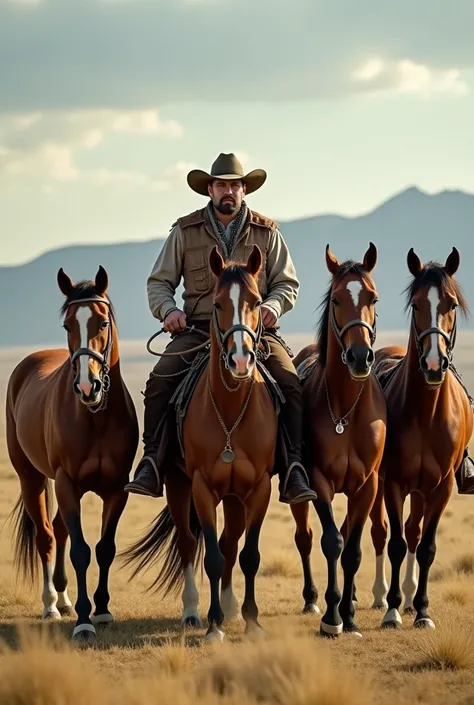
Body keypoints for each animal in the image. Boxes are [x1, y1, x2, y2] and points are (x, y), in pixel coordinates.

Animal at [6, 266, 139, 640]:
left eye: (103, 323)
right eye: (67, 325)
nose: (86, 386)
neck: (95, 419)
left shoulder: (116, 489)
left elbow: (105, 548)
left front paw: (103, 611)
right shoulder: (66, 484)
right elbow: (80, 550)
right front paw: (83, 620)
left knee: (58, 529)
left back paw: (63, 600)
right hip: (31, 478)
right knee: (46, 535)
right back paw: (52, 605)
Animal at [122, 245, 276, 640]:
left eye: (256, 302)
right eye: (218, 303)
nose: (240, 360)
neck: (231, 413)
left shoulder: (259, 487)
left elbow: (247, 554)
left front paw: (251, 621)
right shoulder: (202, 487)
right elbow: (212, 557)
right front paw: (214, 625)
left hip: (235, 496)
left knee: (231, 542)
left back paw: (232, 607)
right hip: (178, 484)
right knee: (189, 544)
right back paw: (193, 611)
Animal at [374, 246, 474, 628]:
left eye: (451, 304)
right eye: (416, 304)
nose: (433, 364)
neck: (427, 413)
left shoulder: (441, 486)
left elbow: (427, 546)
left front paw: (421, 610)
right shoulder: (393, 483)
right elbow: (396, 543)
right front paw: (391, 611)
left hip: (422, 490)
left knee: (415, 533)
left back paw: (408, 597)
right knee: (382, 533)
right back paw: (381, 596)